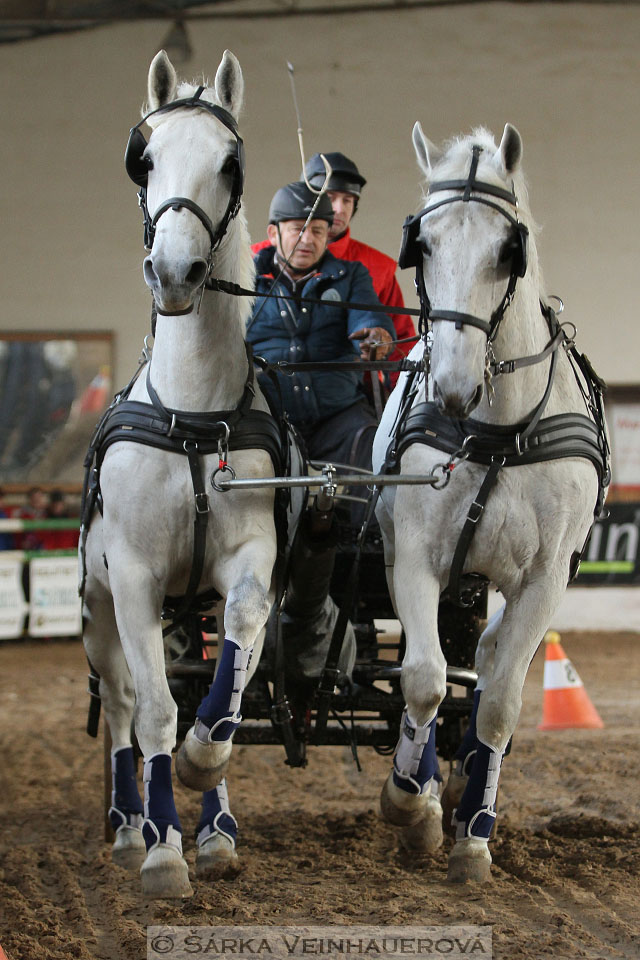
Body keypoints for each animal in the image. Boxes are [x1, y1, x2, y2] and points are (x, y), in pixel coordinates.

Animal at [376, 124, 608, 880]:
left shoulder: (545, 579)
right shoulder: (416, 557)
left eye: (510, 249)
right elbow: (422, 679)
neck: (500, 432)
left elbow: (500, 704)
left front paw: (474, 837)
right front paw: (408, 803)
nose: (451, 387)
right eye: (420, 243)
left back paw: (465, 800)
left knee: (484, 660)